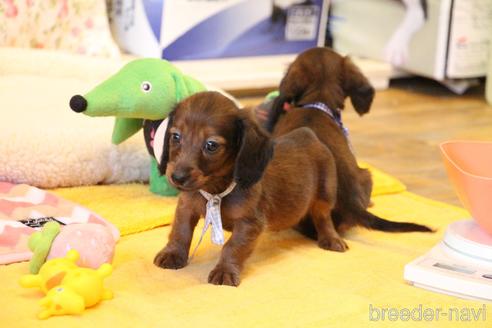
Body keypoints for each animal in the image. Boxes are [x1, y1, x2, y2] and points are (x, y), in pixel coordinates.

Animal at [154, 91, 342, 286]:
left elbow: (232, 246)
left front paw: (225, 271)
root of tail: (308, 135)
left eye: (211, 145)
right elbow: (180, 232)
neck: (215, 190)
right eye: (176, 136)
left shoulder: (249, 223)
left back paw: (331, 239)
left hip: (325, 196)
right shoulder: (186, 207)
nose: (177, 177)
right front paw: (173, 254)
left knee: (323, 218)